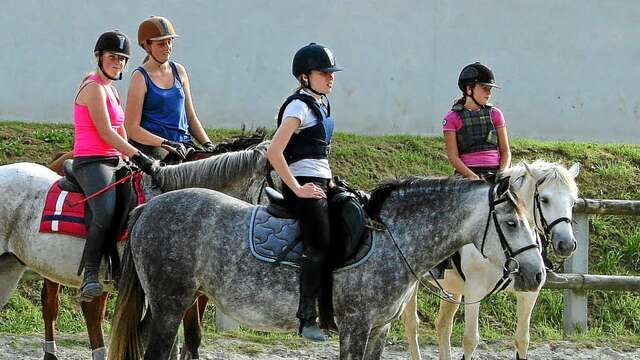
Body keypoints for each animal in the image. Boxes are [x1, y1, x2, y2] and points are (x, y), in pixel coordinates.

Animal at [109, 177, 544, 360]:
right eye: (510, 223)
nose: (537, 274)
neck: (392, 237)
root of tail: (148, 206)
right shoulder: (355, 325)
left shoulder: (378, 329)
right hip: (170, 302)